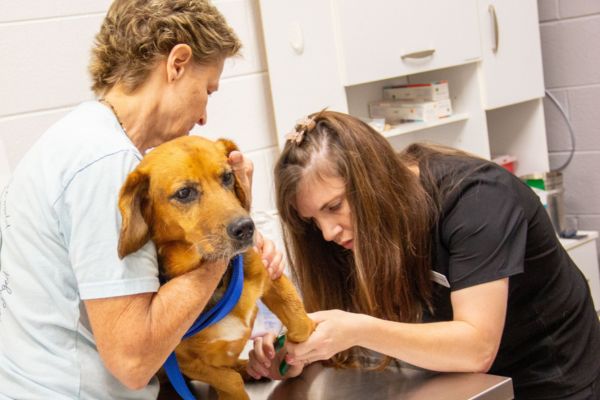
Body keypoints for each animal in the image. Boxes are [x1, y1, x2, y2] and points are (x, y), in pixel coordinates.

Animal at [116, 137, 314, 400]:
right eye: (184, 193)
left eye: (228, 177)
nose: (246, 228)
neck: (219, 284)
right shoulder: (186, 362)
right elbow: (229, 381)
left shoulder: (272, 280)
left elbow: (300, 325)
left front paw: (300, 351)